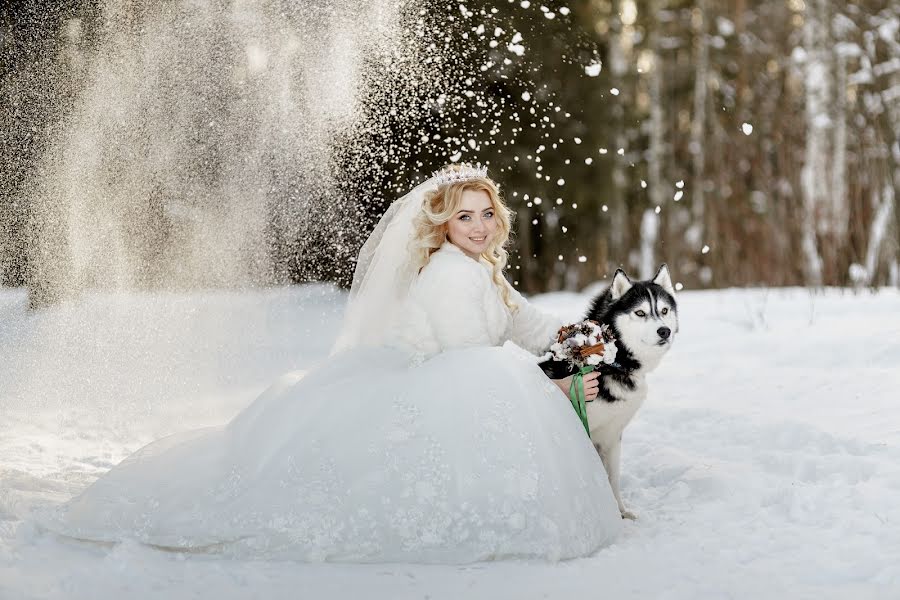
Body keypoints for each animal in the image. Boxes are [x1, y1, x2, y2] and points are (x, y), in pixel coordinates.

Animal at [540, 264, 676, 516]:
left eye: (664, 310)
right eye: (640, 313)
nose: (665, 331)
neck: (611, 363)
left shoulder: (612, 435)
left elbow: (612, 478)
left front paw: (619, 512)